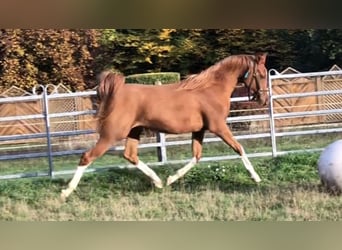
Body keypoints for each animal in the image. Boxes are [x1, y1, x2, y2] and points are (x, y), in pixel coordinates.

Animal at [61, 52, 270, 199]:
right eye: (260, 74)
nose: (264, 99)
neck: (210, 89)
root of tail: (118, 90)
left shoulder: (199, 130)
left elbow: (196, 157)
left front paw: (170, 179)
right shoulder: (218, 127)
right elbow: (239, 148)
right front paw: (256, 177)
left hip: (134, 131)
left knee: (130, 155)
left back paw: (158, 181)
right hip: (112, 134)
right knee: (87, 157)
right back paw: (66, 191)